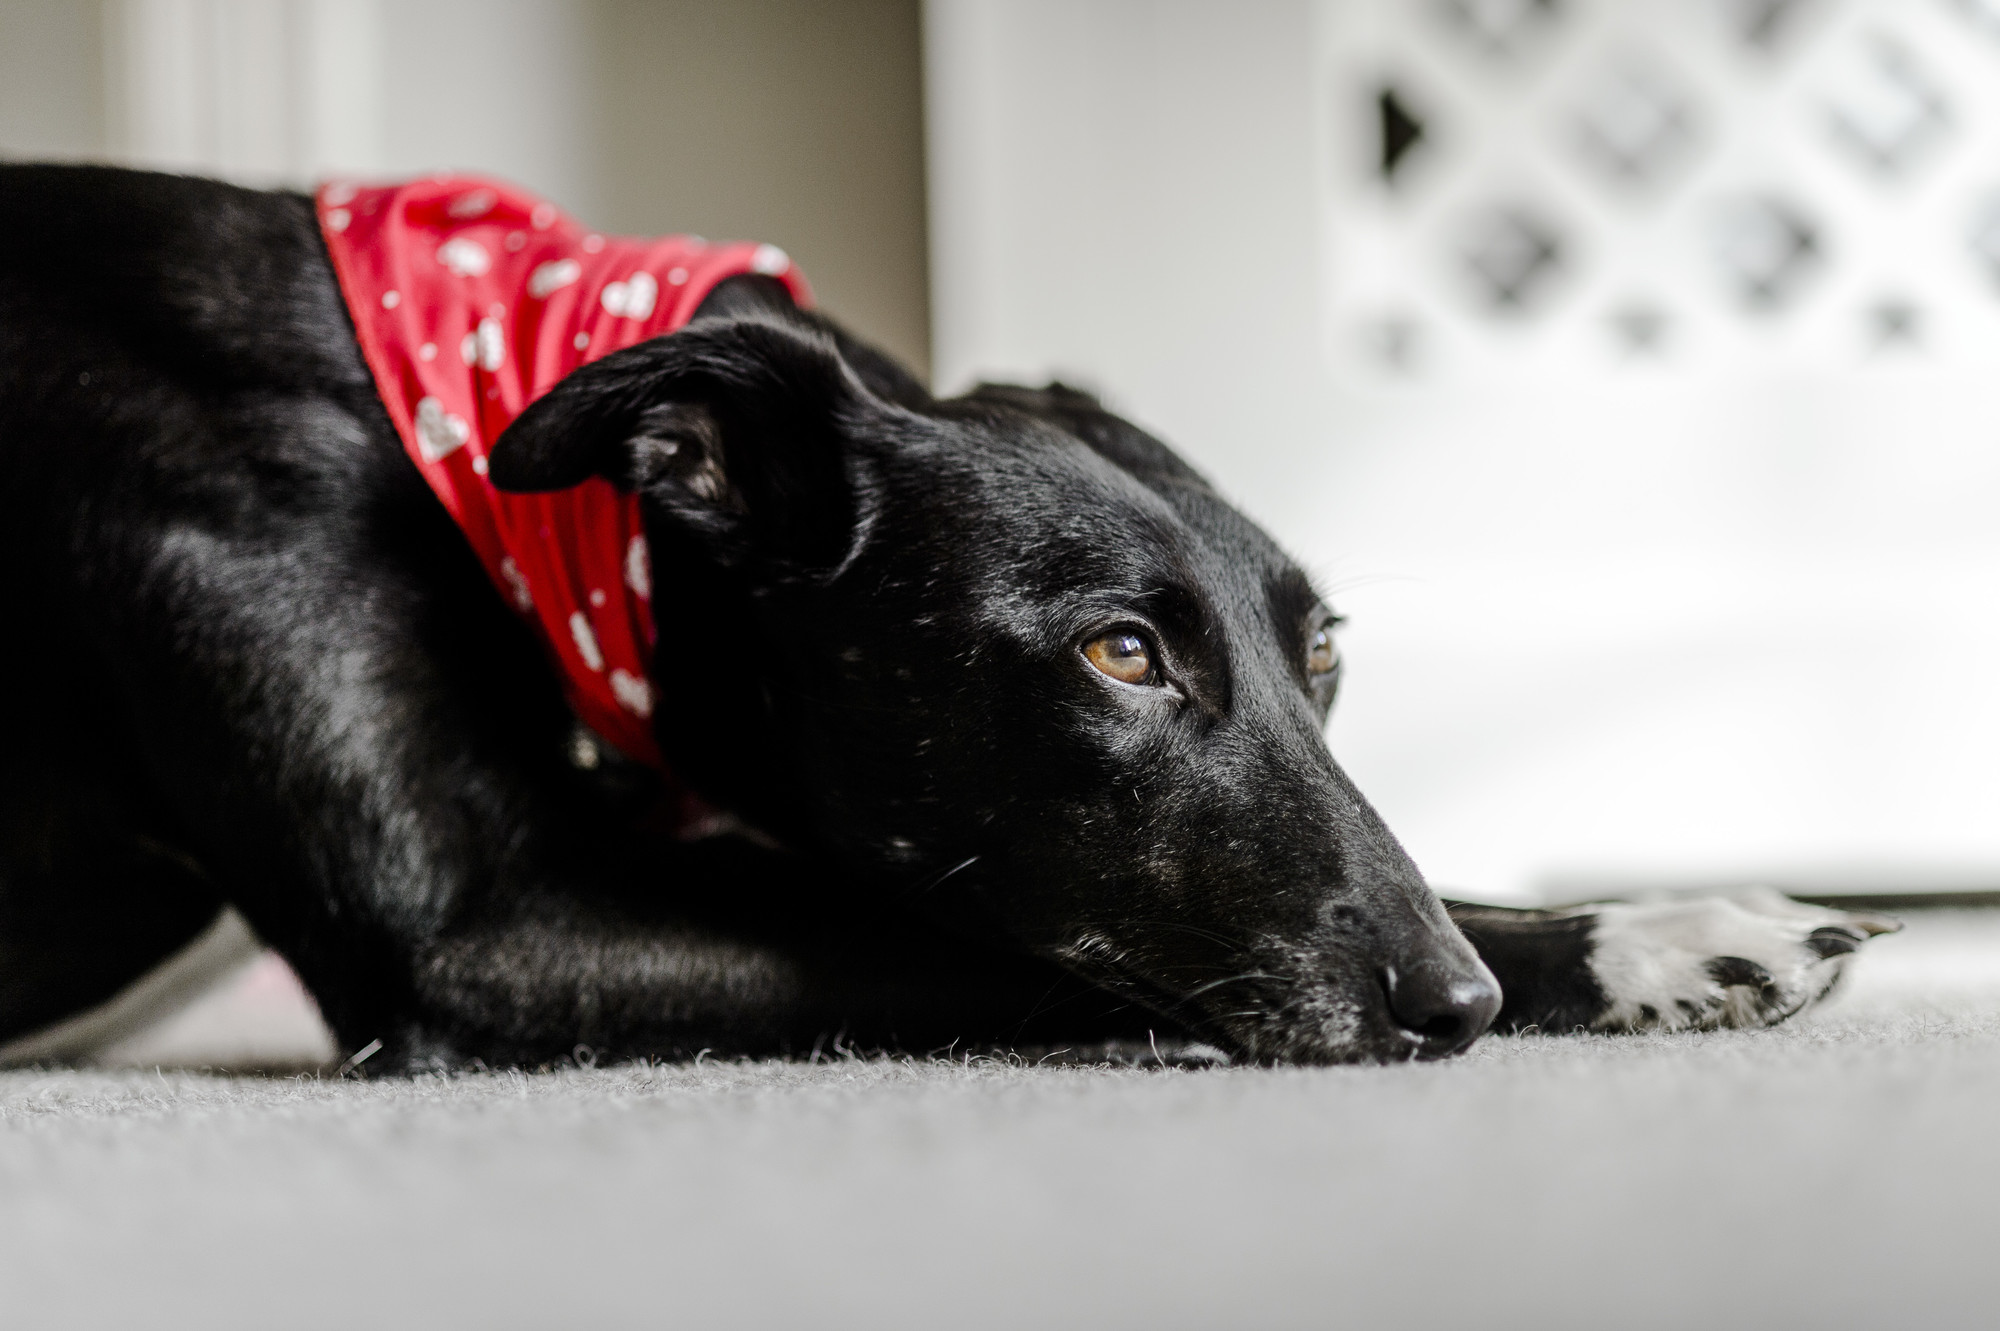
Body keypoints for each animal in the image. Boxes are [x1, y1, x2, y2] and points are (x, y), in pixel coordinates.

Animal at [0, 165, 1904, 1063]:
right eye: (1119, 652)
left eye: (1326, 652)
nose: (1454, 1006)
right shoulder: (486, 939)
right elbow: (973, 933)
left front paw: (1667, 927)